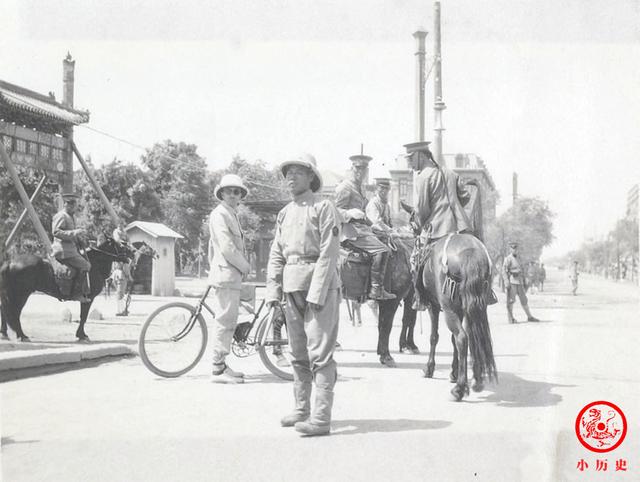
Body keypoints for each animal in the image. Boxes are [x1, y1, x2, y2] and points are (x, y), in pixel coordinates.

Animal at [0, 237, 134, 342]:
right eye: (121, 244)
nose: (133, 252)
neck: (94, 264)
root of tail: (10, 262)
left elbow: (83, 317)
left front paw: (81, 335)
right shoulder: (88, 299)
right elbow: (83, 317)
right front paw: (82, 335)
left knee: (5, 311)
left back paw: (5, 333)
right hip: (21, 295)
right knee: (14, 313)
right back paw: (21, 335)